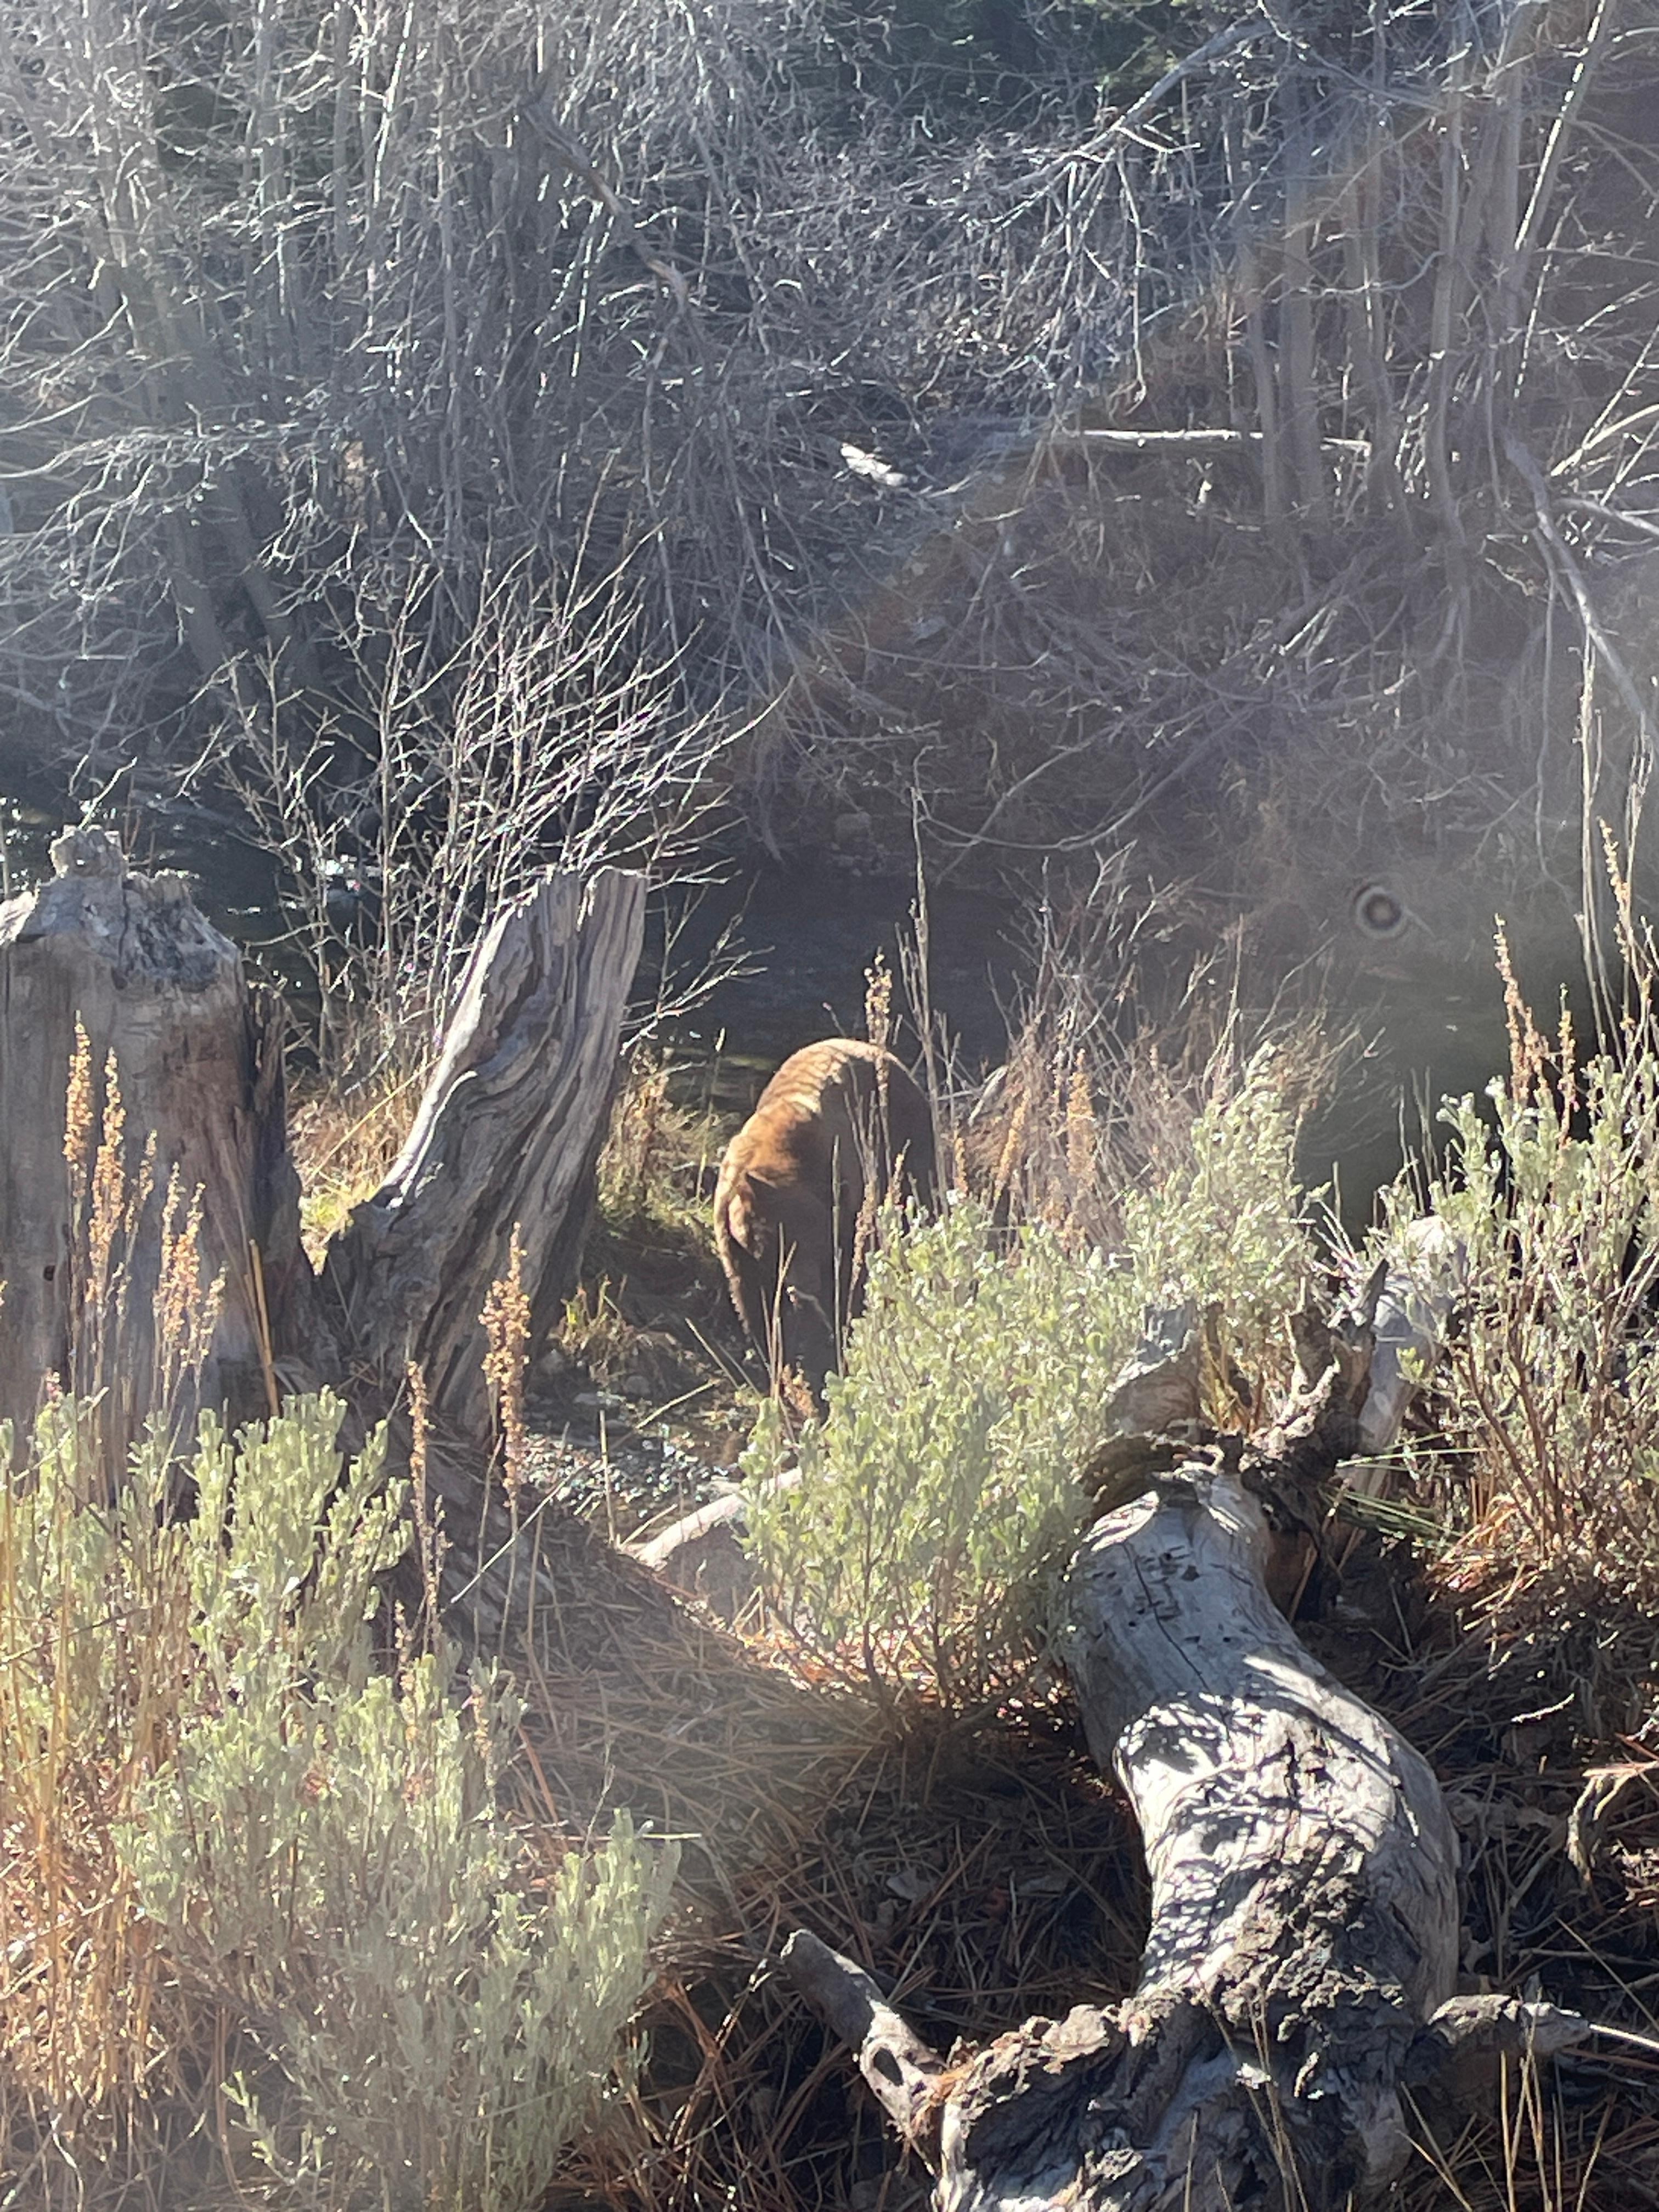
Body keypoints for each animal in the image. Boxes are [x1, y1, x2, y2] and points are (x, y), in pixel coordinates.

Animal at [713, 1038, 938, 1399]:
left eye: (814, 1241)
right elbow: (750, 1298)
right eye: (772, 1241)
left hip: (908, 1138)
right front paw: (774, 1364)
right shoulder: (734, 1243)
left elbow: (850, 1277)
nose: (803, 1290)